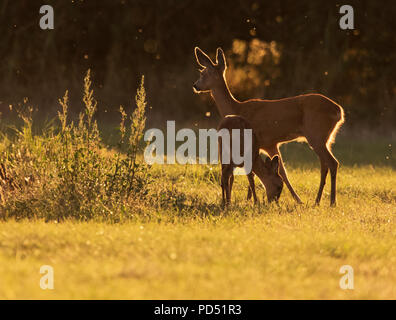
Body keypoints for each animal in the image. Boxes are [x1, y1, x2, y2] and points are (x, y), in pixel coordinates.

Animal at [193, 47, 344, 208]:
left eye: (203, 73)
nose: (195, 85)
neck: (236, 108)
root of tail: (339, 111)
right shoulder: (270, 144)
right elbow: (280, 171)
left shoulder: (262, 142)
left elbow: (271, 172)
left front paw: (252, 199)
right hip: (325, 138)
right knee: (324, 165)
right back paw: (318, 200)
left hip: (316, 135)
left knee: (332, 162)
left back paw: (332, 201)